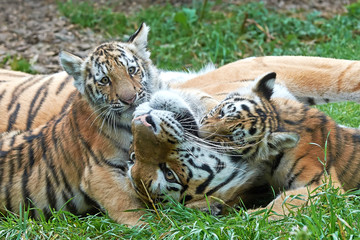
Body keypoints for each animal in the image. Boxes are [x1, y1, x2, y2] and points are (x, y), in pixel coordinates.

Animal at [0, 22, 162, 225]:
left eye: (131, 70)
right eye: (105, 80)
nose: (129, 99)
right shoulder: (98, 172)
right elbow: (129, 205)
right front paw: (155, 225)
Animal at [129, 72, 360, 217]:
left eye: (231, 138)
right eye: (219, 112)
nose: (200, 133)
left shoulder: (325, 185)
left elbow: (286, 201)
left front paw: (253, 217)